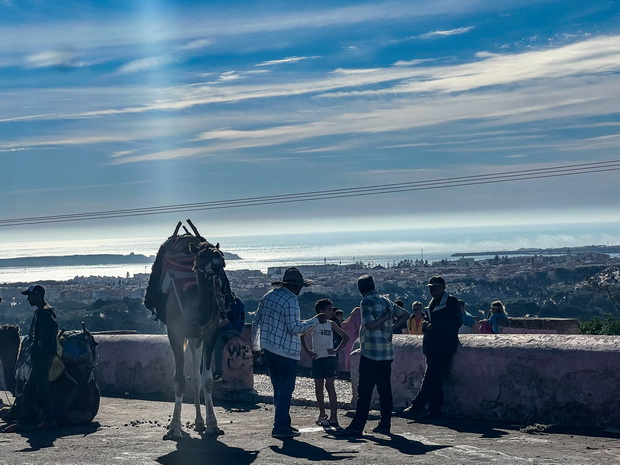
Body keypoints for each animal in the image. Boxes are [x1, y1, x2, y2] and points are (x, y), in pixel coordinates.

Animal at [144, 219, 234, 436]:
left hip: (196, 337)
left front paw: (213, 424)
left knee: (197, 376)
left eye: (220, 253)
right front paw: (174, 427)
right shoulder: (175, 332)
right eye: (202, 255)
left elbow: (206, 380)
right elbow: (179, 380)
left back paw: (200, 422)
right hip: (185, 334)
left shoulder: (210, 332)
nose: (218, 263)